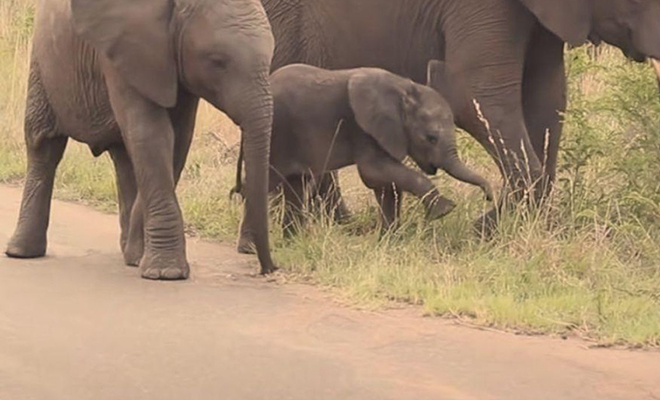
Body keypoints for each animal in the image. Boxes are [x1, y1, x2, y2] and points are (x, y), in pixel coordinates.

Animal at [3, 0, 276, 278]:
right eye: (217, 61)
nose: (269, 269)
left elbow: (177, 139)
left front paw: (140, 256)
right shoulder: (124, 53)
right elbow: (151, 133)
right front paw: (166, 272)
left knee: (123, 158)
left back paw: (130, 254)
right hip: (42, 61)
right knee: (44, 145)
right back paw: (21, 252)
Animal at [237, 59, 490, 253]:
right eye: (431, 138)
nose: (489, 196)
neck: (403, 88)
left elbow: (387, 185)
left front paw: (390, 242)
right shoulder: (364, 129)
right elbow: (374, 172)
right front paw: (444, 210)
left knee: (297, 186)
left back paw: (294, 243)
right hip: (275, 135)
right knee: (265, 182)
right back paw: (249, 248)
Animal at [258, 0, 660, 227]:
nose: (486, 202)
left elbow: (547, 98)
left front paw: (511, 228)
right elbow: (475, 94)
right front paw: (486, 231)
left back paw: (338, 222)